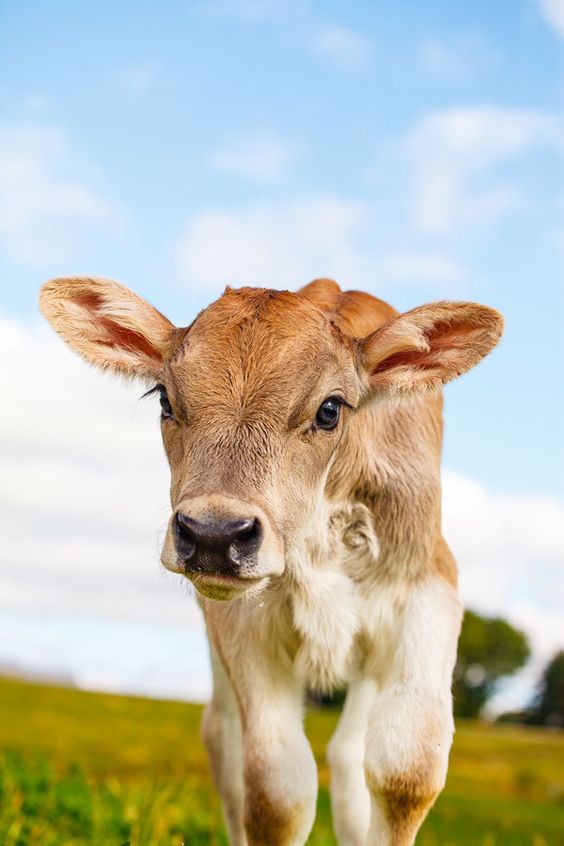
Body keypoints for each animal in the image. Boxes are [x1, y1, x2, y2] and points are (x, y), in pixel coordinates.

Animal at [39, 276, 503, 845]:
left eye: (330, 409)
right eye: (164, 399)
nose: (213, 534)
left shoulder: (427, 586)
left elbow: (406, 772)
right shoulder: (242, 619)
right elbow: (276, 792)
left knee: (347, 755)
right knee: (225, 742)